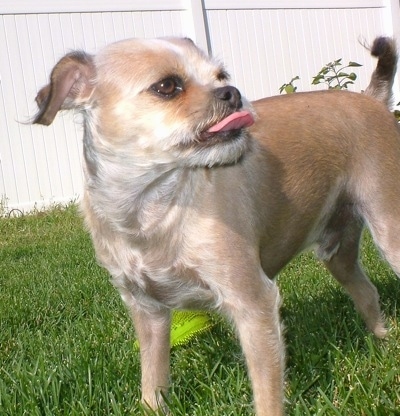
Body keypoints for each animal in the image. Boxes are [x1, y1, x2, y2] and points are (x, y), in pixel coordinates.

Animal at [32, 36, 398, 416]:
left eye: (221, 76)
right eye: (167, 86)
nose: (232, 93)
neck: (150, 209)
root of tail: (371, 98)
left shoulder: (254, 303)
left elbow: (267, 394)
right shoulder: (149, 313)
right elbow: (152, 381)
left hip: (390, 231)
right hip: (338, 254)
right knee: (366, 292)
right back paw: (382, 341)